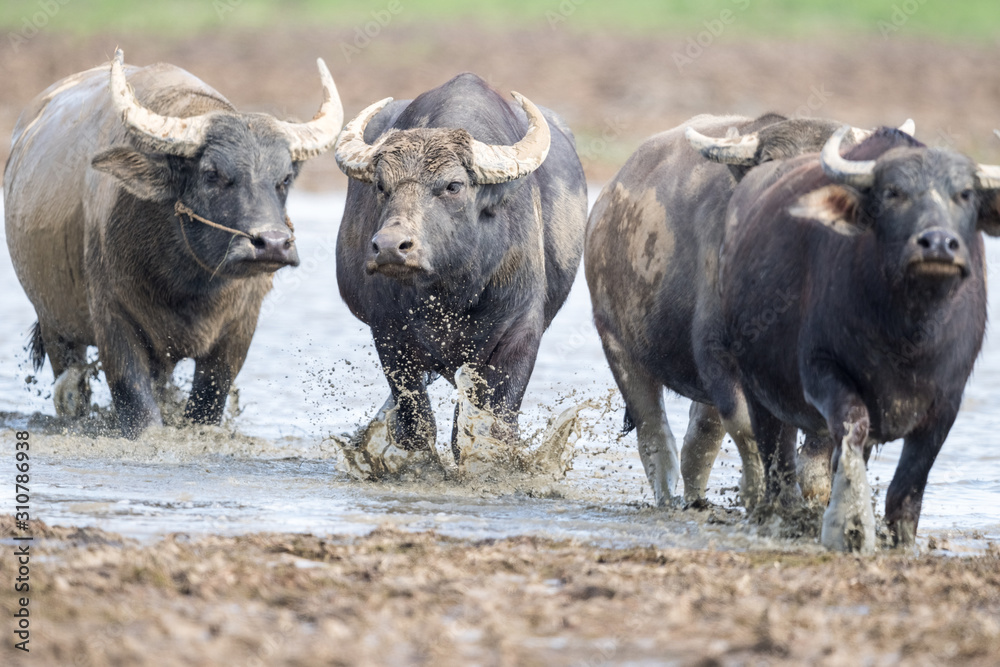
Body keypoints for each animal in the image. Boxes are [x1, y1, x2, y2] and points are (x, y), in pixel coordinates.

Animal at [5, 49, 344, 436]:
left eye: (284, 178)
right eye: (213, 173)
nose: (272, 243)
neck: (188, 285)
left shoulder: (238, 330)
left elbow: (208, 402)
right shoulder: (112, 320)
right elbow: (137, 406)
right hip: (54, 326)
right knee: (71, 390)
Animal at [336, 73, 584, 474]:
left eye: (453, 185)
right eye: (381, 186)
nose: (388, 246)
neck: (451, 291)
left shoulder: (521, 331)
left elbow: (493, 422)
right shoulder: (388, 332)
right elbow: (416, 419)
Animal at [580, 113, 900, 506]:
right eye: (772, 164)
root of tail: (605, 203)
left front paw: (815, 496)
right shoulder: (718, 353)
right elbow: (748, 427)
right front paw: (756, 490)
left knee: (700, 436)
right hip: (618, 345)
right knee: (655, 433)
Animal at [712, 126, 1000, 552]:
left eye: (965, 194)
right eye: (893, 192)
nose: (937, 243)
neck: (908, 330)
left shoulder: (948, 400)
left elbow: (908, 485)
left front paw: (900, 541)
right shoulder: (822, 370)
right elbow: (852, 431)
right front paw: (847, 525)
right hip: (758, 390)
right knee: (777, 465)